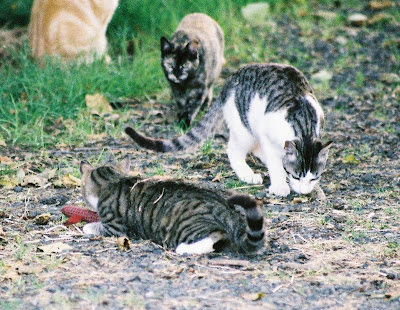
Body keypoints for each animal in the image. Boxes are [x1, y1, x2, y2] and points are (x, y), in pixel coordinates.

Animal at [79, 156, 266, 256]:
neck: (114, 180)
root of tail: (227, 210)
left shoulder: (115, 227)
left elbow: (95, 227)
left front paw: (87, 226)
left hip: (184, 225)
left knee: (213, 238)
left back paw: (184, 248)